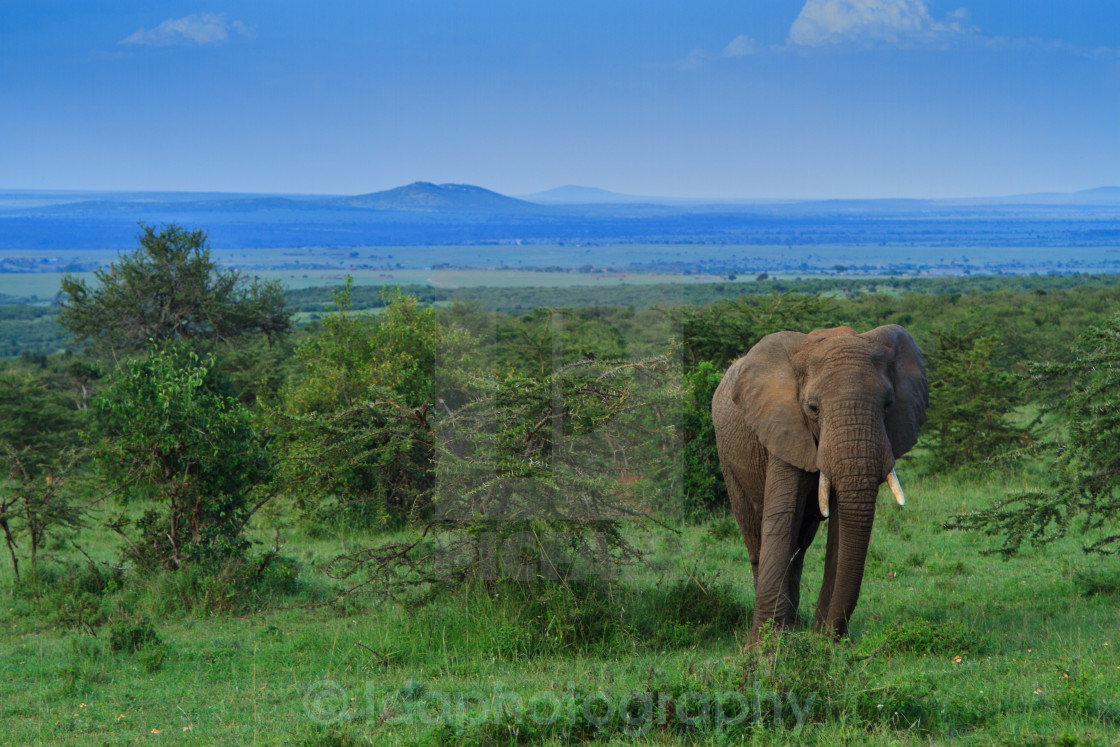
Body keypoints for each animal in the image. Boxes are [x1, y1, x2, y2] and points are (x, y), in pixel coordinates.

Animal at [707, 324, 927, 640]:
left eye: (889, 404)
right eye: (812, 408)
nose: (828, 635)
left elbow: (841, 525)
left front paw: (823, 641)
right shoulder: (782, 425)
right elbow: (782, 516)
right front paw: (763, 647)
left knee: (799, 546)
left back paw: (793, 626)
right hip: (728, 456)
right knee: (755, 534)